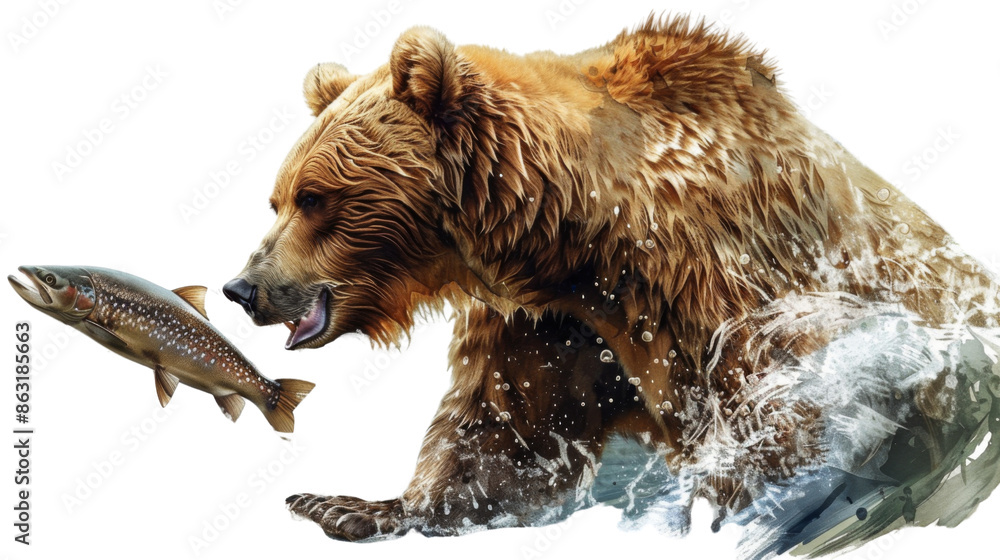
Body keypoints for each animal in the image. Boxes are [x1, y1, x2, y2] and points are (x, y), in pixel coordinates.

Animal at [223, 15, 1000, 556]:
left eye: (317, 198)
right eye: (278, 198)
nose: (244, 287)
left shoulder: (734, 288)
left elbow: (786, 420)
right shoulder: (551, 326)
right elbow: (506, 429)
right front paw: (350, 505)